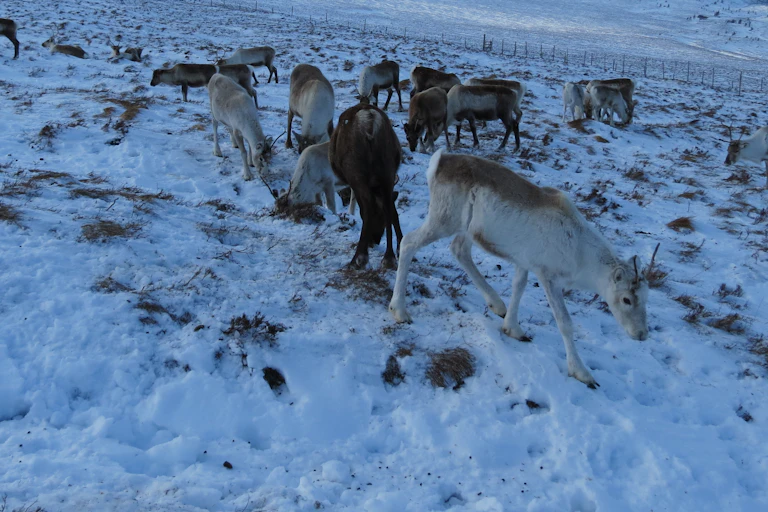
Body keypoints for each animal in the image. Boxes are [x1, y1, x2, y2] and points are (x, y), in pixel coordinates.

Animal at [329, 103, 403, 269]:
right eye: (379, 217)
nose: (375, 239)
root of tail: (370, 123)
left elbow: (363, 210)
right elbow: (393, 212)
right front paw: (399, 247)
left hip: (356, 171)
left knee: (368, 205)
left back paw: (359, 257)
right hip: (387, 169)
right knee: (388, 205)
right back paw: (389, 256)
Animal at [389, 150, 654, 388]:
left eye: (646, 298)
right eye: (626, 299)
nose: (642, 334)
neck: (581, 255)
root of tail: (439, 161)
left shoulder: (524, 263)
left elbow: (518, 288)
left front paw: (513, 328)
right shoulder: (548, 276)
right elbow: (564, 322)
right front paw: (582, 373)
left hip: (466, 230)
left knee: (459, 250)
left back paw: (496, 303)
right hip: (443, 220)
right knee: (408, 242)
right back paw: (399, 310)